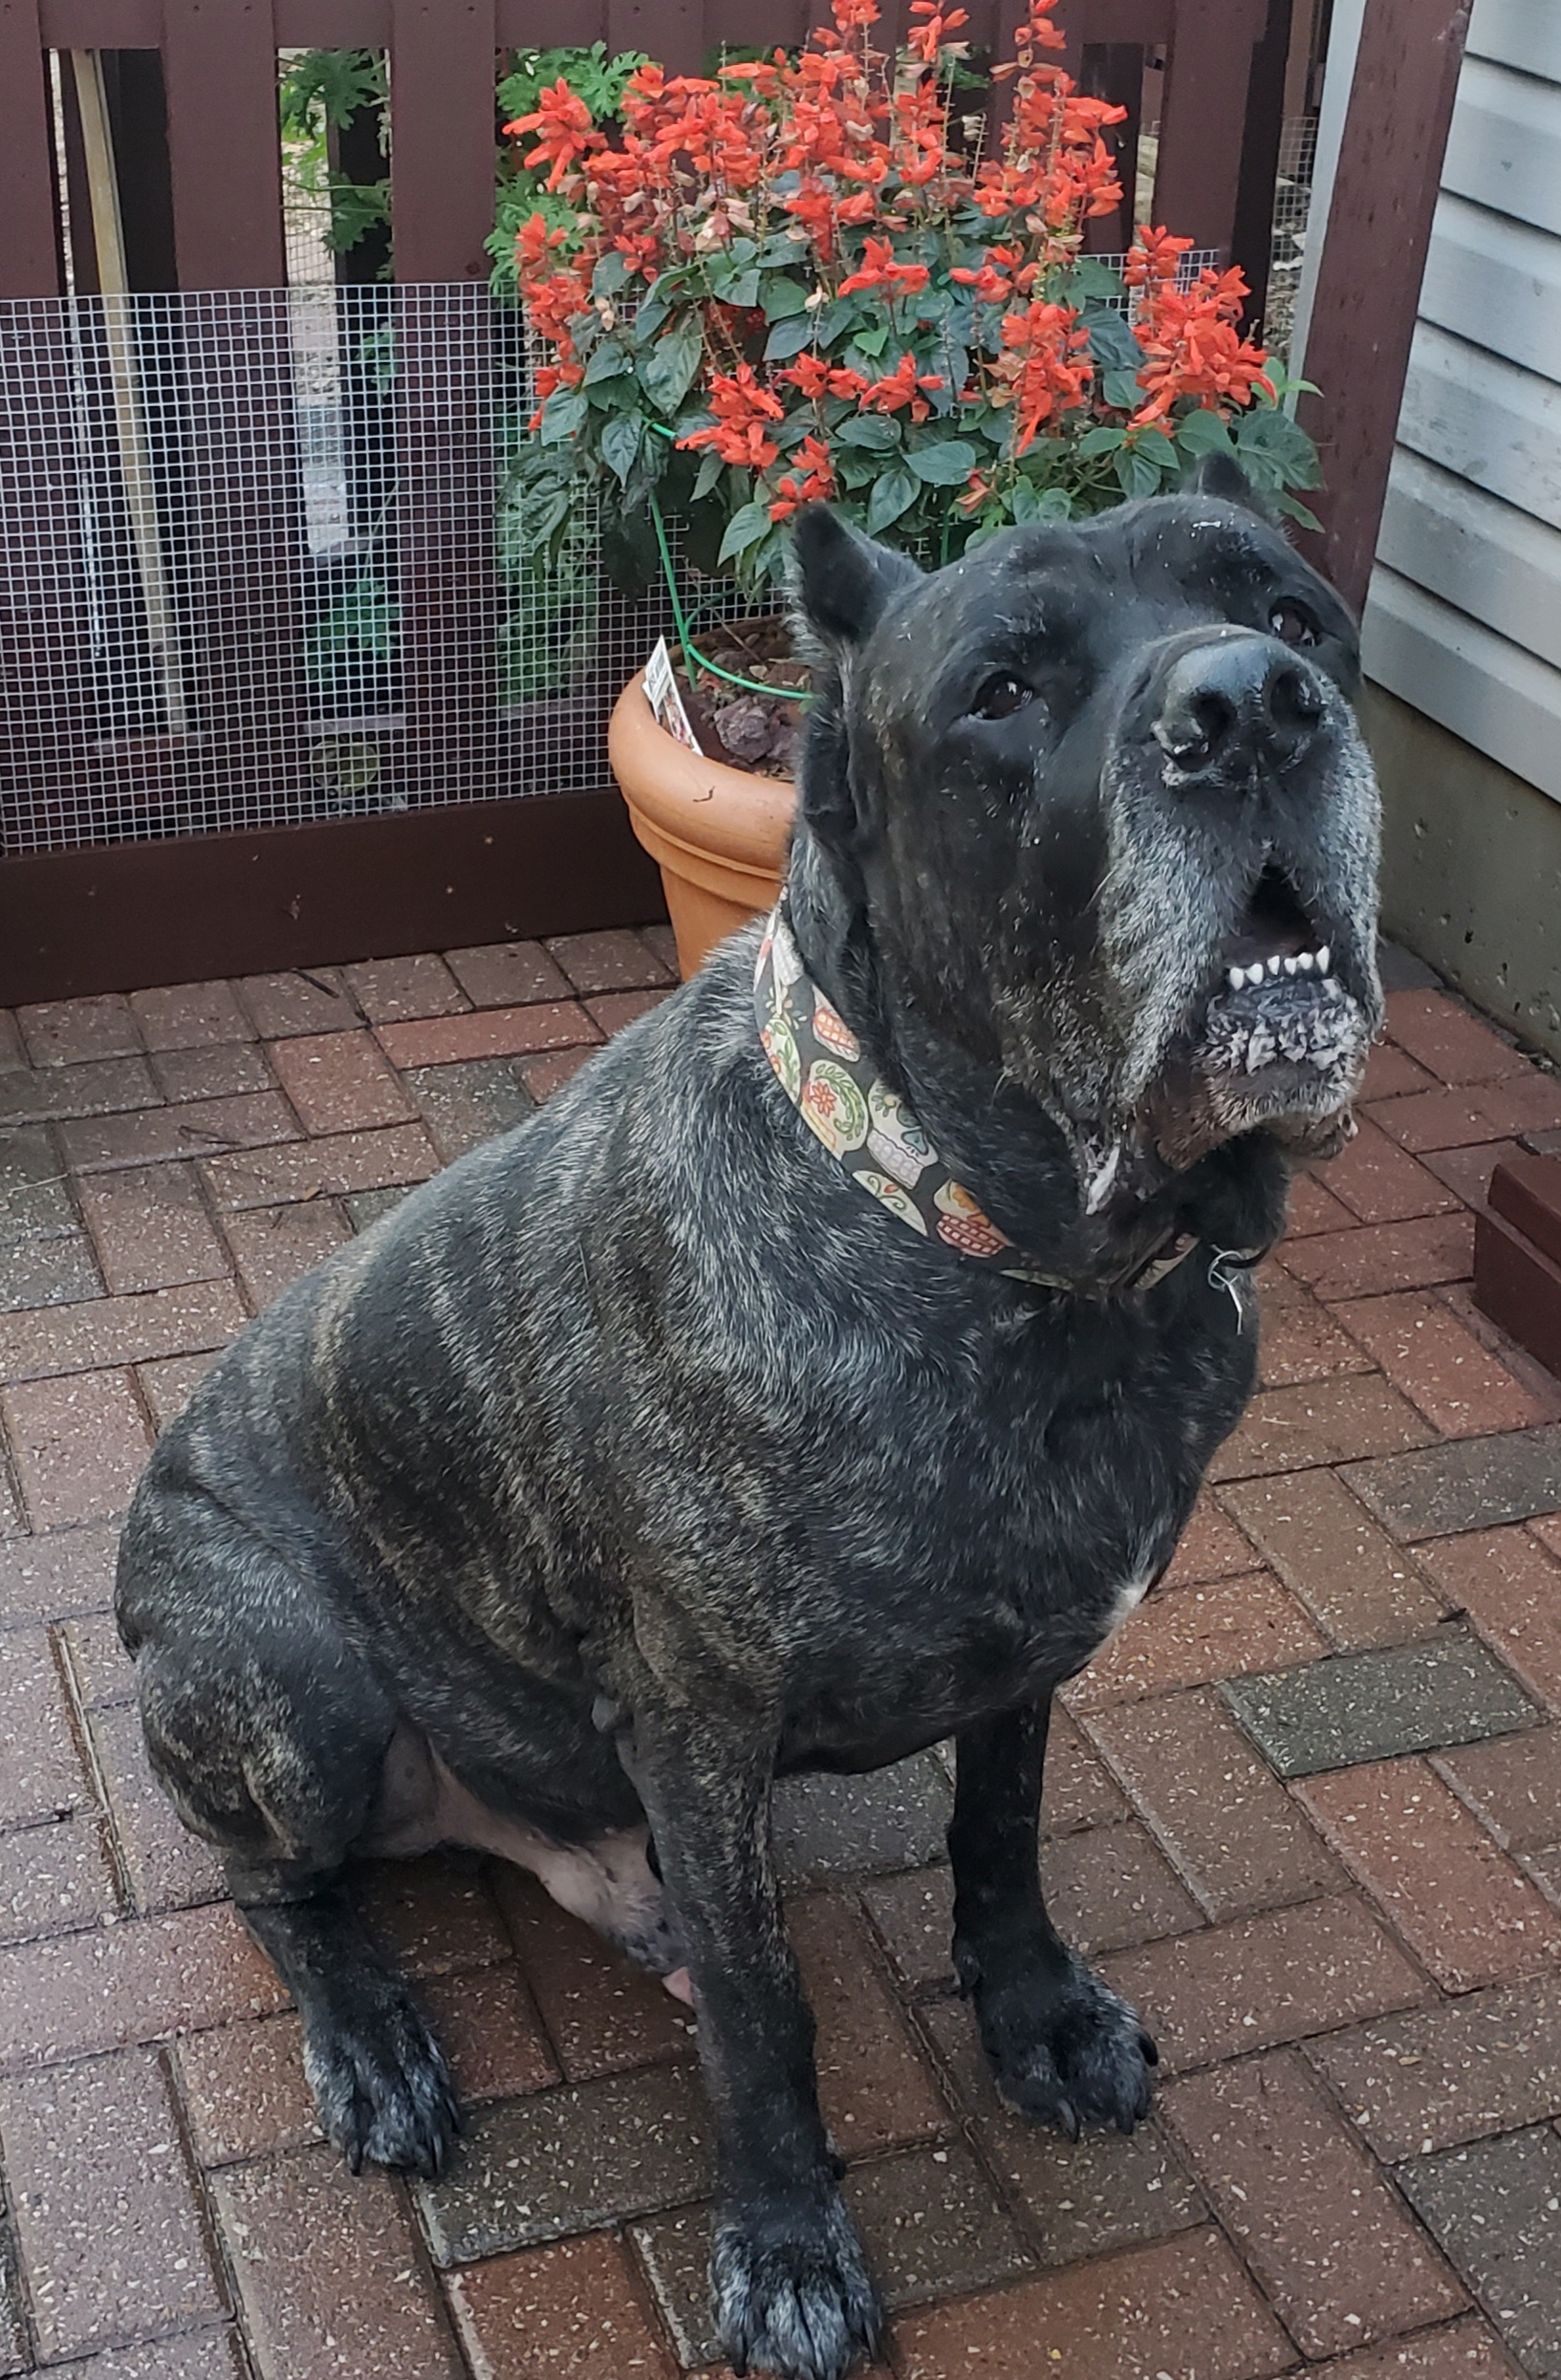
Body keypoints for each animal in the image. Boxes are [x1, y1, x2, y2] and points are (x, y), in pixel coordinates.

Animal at [119, 468, 1379, 2380]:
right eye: (1002, 690)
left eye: (1297, 615)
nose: (1254, 706)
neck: (1021, 1255)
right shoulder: (701, 1728)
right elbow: (764, 2010)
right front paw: (785, 2242)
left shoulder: (1028, 1652)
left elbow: (999, 1837)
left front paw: (1034, 2012)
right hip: (285, 1681)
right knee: (274, 1888)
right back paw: (373, 2040)